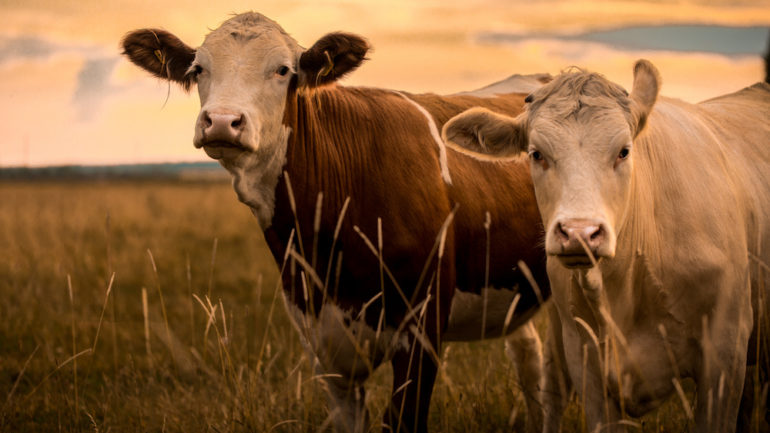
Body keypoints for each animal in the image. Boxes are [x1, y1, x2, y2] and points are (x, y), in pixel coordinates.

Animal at [120, 11, 548, 430]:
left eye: (283, 70)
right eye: (198, 70)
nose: (223, 121)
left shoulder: (423, 331)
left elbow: (402, 419)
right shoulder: (322, 343)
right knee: (530, 359)